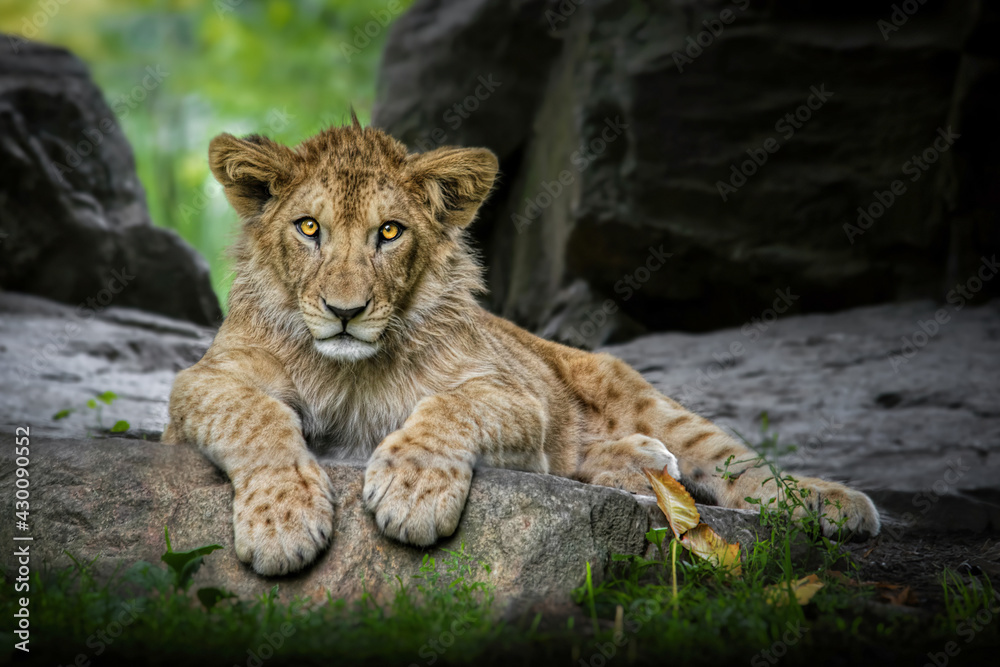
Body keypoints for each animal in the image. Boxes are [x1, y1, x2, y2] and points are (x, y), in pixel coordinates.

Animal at [162, 121, 880, 576]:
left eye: (389, 232)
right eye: (308, 228)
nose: (345, 312)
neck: (349, 372)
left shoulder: (512, 392)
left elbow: (447, 411)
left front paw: (412, 491)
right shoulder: (201, 384)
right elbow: (256, 416)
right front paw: (282, 521)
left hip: (627, 384)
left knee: (738, 463)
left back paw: (829, 501)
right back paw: (641, 462)